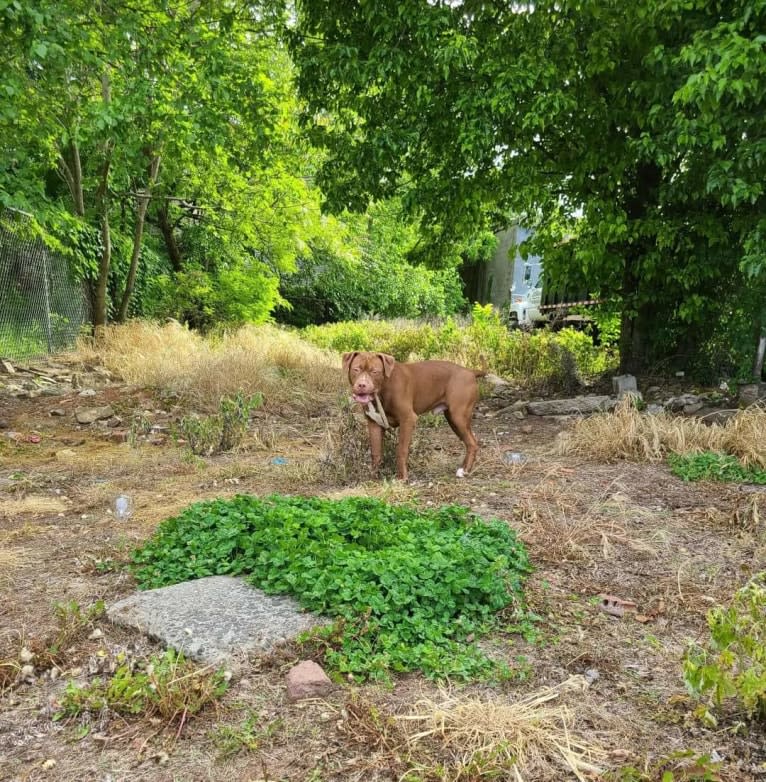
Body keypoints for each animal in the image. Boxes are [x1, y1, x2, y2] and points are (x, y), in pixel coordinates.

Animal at [344, 350, 486, 484]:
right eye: (356, 369)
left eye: (375, 372)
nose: (362, 385)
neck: (382, 390)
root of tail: (470, 372)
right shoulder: (374, 424)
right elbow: (376, 453)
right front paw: (373, 478)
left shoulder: (407, 419)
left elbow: (401, 450)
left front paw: (402, 478)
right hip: (453, 419)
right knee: (469, 443)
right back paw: (463, 468)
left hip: (458, 417)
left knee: (472, 443)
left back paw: (465, 470)